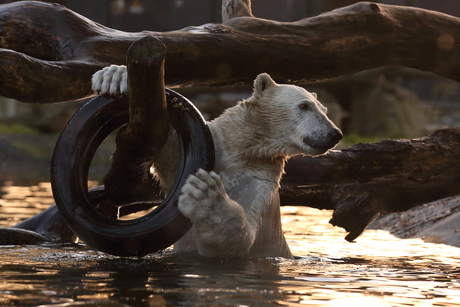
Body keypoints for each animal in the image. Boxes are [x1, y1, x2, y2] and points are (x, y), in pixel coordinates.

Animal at [91, 66, 342, 258]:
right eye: (305, 106)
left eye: (324, 109)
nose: (334, 134)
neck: (242, 151)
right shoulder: (212, 147)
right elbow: (169, 147)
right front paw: (115, 78)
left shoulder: (261, 188)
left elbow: (242, 239)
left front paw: (206, 195)